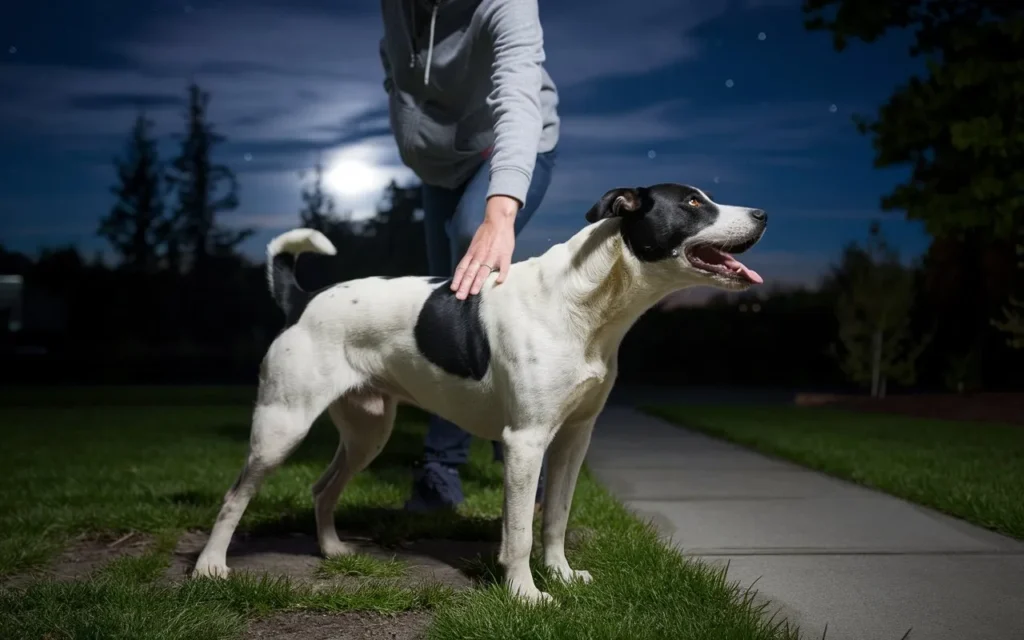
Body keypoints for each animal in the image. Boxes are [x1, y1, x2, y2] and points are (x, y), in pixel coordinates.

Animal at [193, 182, 770, 602]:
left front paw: (560, 575)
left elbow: (554, 518)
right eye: (693, 203)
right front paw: (526, 596)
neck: (588, 304)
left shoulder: (573, 439)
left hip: (367, 432)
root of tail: (303, 301)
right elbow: (518, 533)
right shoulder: (526, 442)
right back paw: (209, 567)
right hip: (282, 426)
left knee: (322, 487)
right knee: (233, 496)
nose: (763, 213)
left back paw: (332, 549)